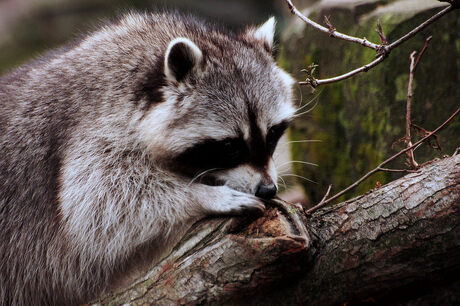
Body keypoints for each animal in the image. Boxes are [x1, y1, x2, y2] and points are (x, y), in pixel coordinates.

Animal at [0, 11, 294, 306]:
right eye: (230, 146)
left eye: (272, 134)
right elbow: (98, 203)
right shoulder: (92, 129)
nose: (268, 189)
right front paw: (203, 195)